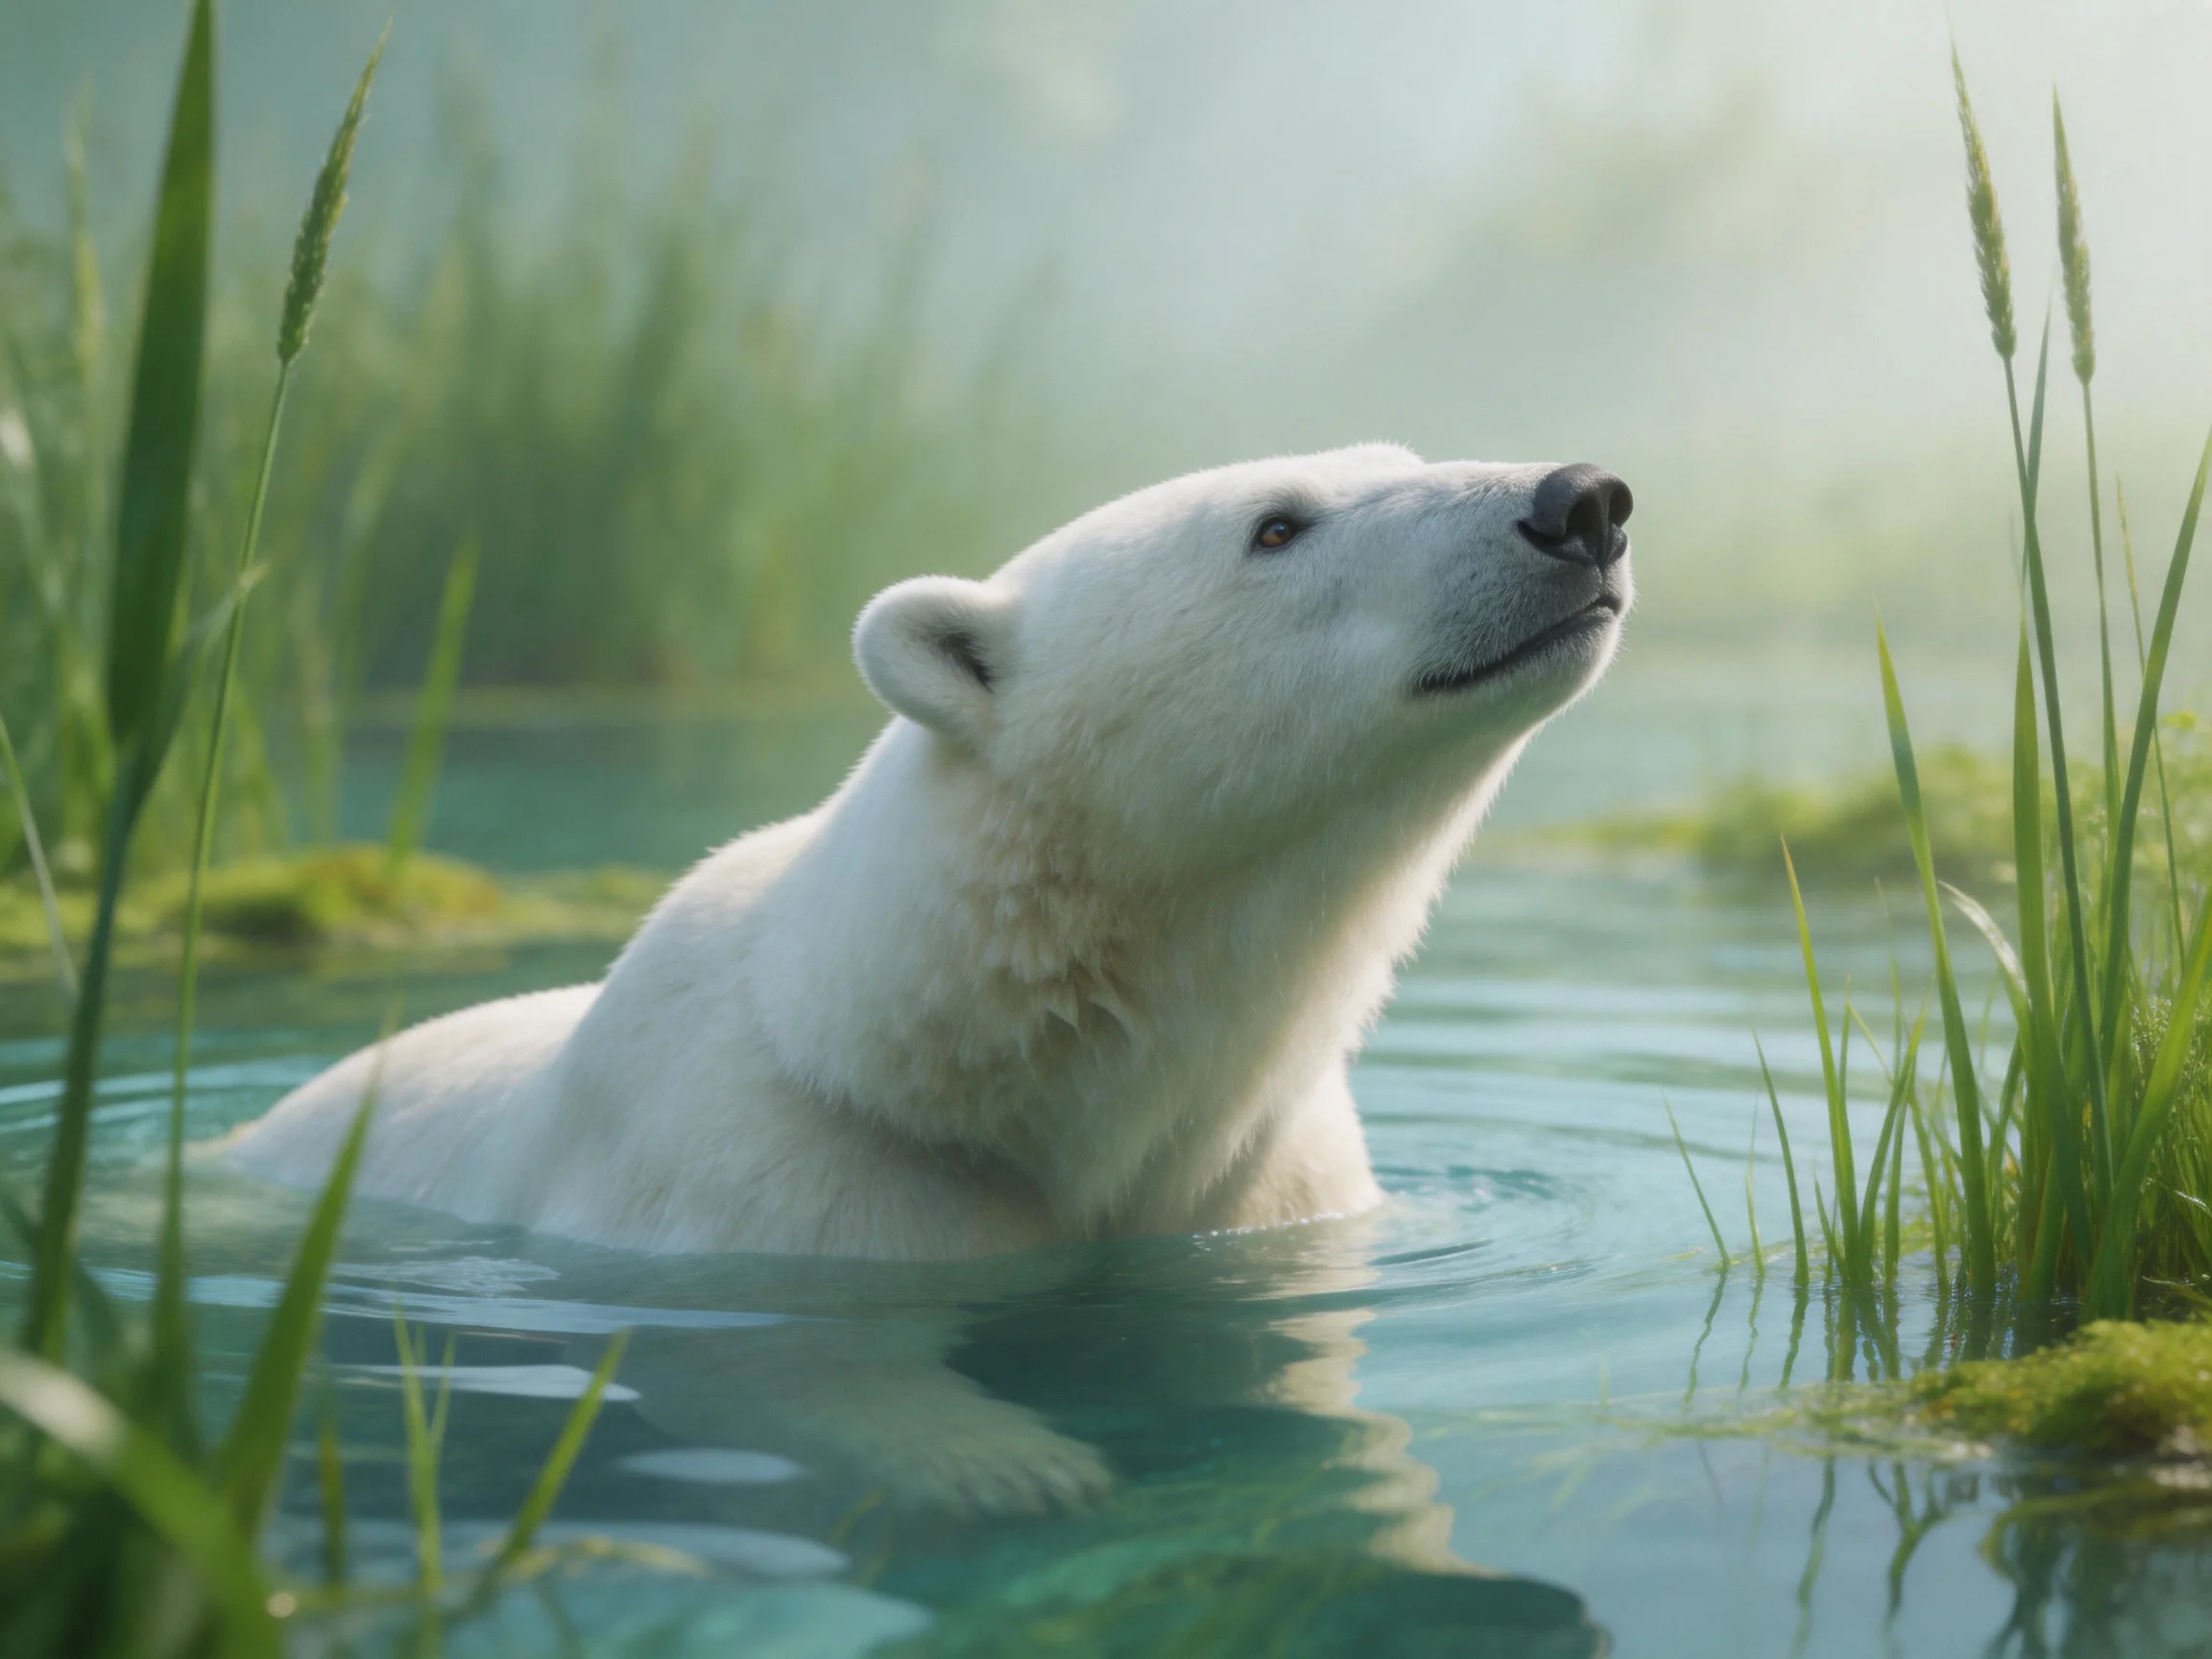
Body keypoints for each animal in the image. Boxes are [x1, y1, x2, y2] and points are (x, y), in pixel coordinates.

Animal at [222, 442, 1631, 1515]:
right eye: (1277, 526)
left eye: (1402, 454)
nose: (1581, 501)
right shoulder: (777, 1181)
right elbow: (794, 1369)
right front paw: (1018, 1467)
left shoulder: (1268, 1188)